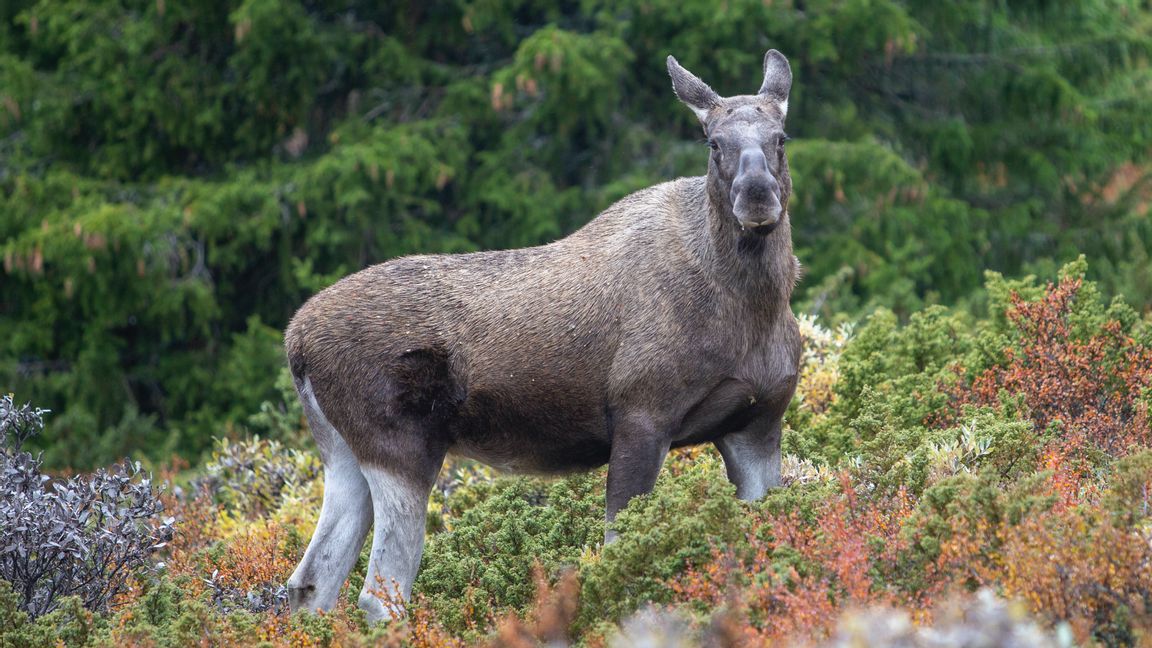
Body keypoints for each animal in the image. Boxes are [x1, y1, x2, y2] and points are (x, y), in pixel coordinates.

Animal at [285, 49, 801, 613]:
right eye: (713, 142)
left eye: (781, 137)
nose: (757, 195)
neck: (750, 307)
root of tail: (296, 340)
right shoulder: (642, 416)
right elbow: (620, 553)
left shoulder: (756, 424)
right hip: (400, 448)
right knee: (379, 593)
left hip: (342, 455)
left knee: (310, 583)